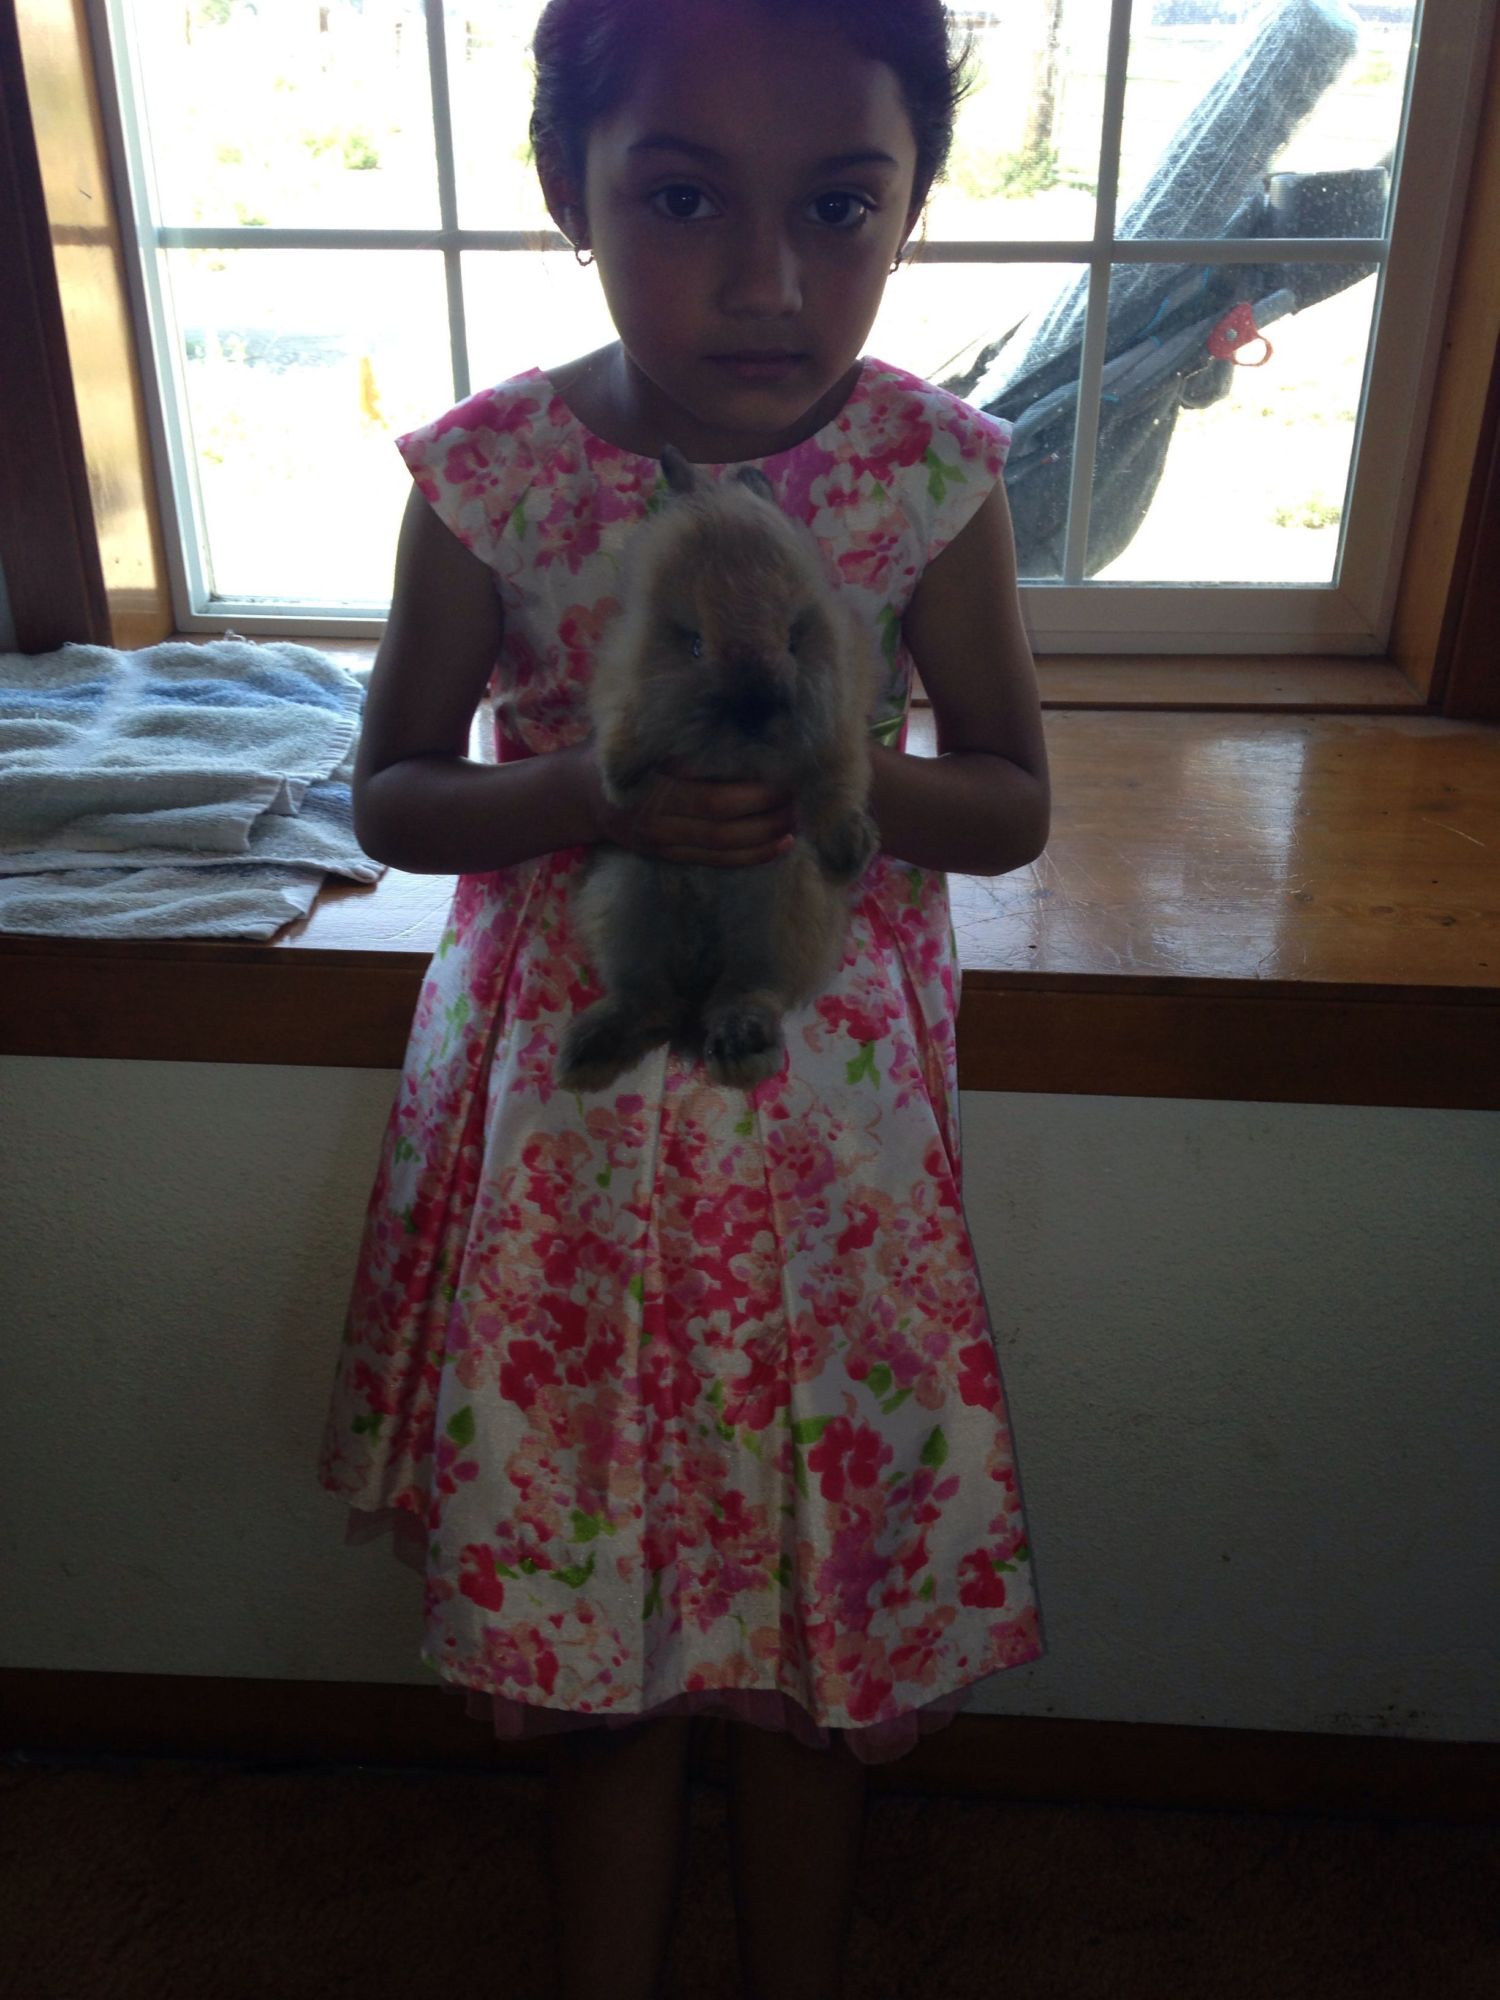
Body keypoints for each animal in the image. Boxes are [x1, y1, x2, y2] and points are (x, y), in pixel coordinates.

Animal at [556, 446, 880, 1093]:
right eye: (695, 644)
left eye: (794, 636)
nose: (755, 712)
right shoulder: (623, 682)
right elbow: (622, 719)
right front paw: (619, 782)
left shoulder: (838, 726)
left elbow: (838, 781)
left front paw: (846, 850)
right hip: (627, 896)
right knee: (648, 1002)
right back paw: (589, 1052)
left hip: (777, 907)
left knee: (751, 991)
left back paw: (740, 1046)